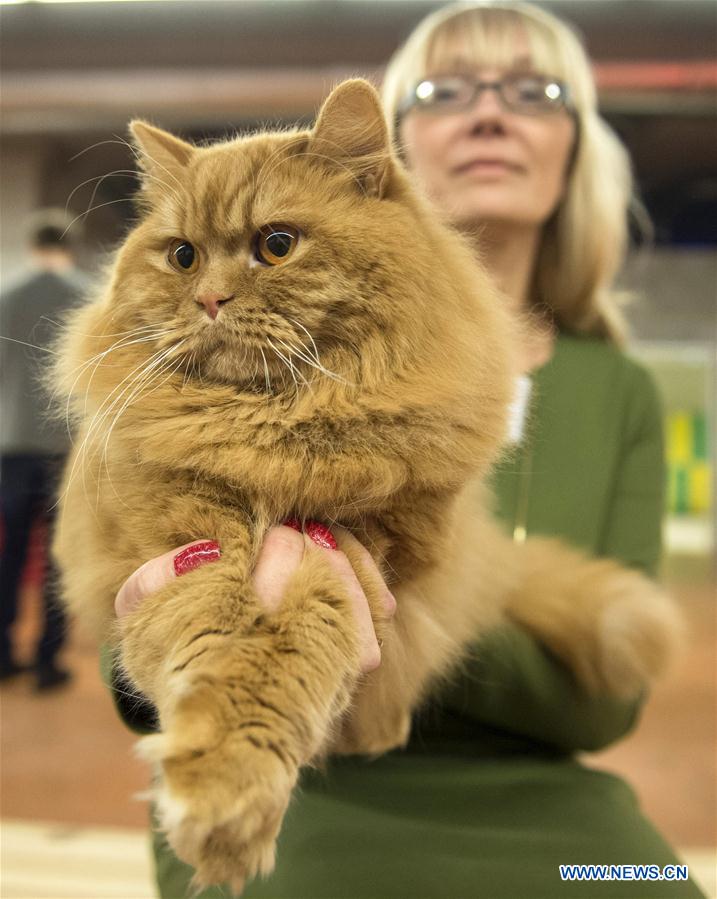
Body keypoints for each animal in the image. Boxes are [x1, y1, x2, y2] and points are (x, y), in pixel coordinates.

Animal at [53, 81, 680, 896]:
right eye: (183, 256)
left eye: (276, 244)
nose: (210, 300)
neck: (273, 434)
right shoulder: (180, 539)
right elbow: (216, 632)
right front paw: (222, 788)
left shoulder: (355, 549)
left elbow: (291, 646)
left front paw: (227, 791)